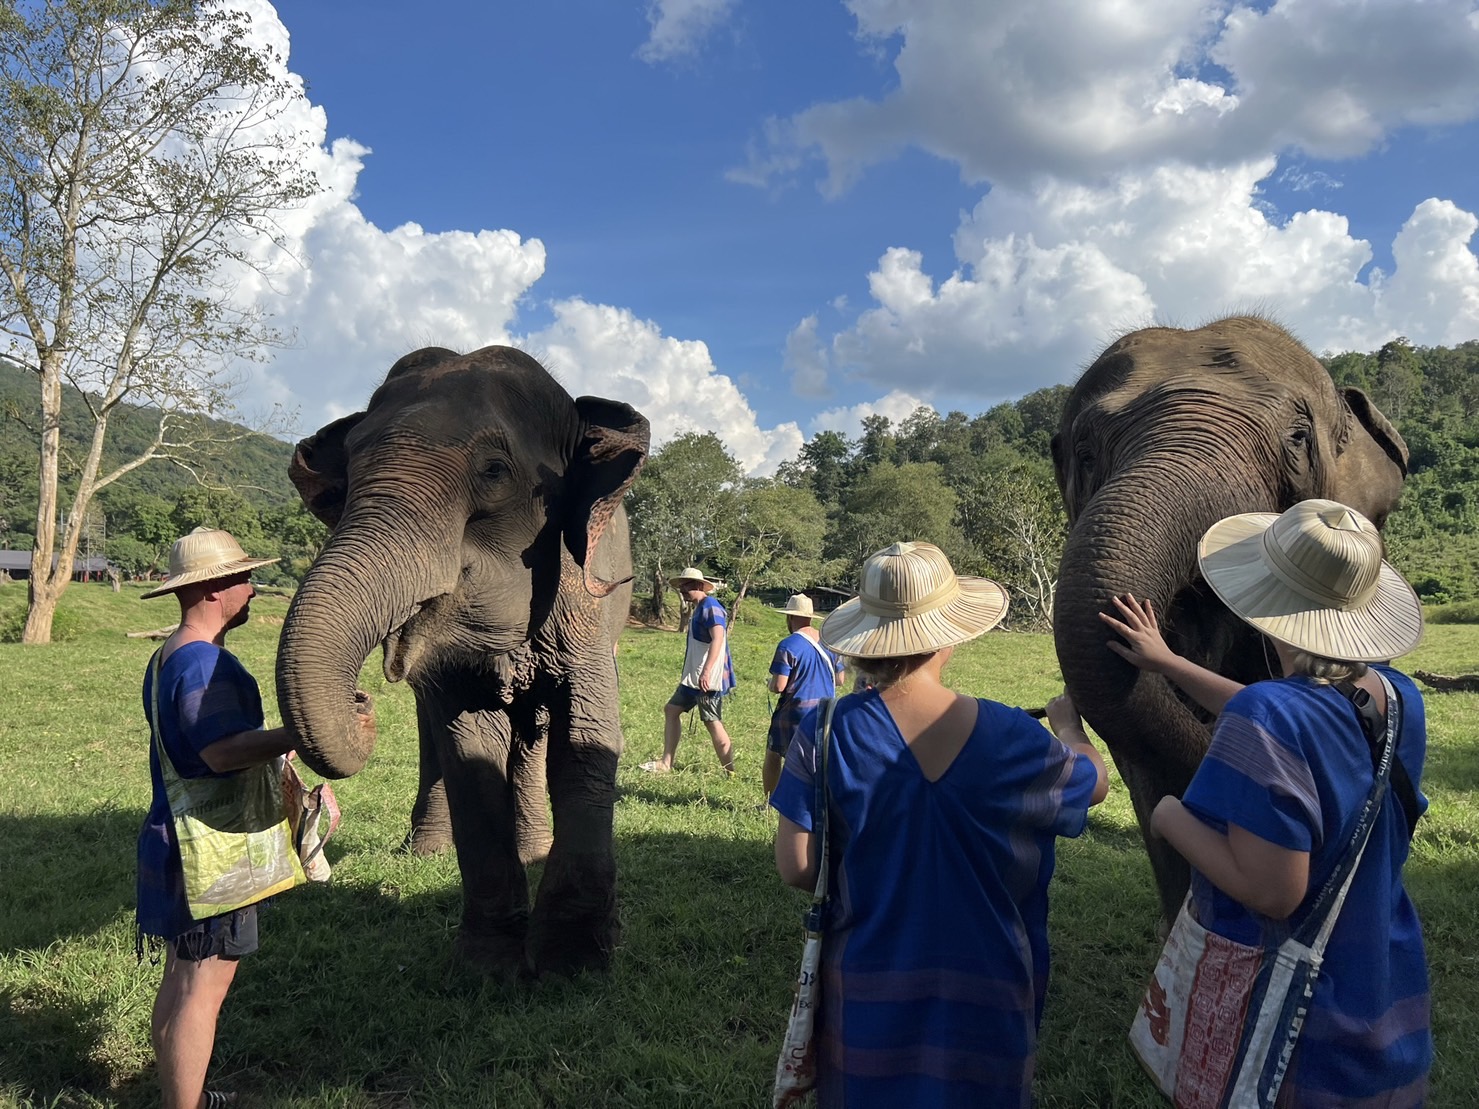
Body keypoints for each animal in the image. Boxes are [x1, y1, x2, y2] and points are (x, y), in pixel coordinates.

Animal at [278, 346, 647, 981]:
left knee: (536, 733)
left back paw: (533, 852)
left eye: (494, 472)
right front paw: (489, 969)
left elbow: (584, 738)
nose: (362, 699)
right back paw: (427, 850)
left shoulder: (584, 607)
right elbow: (470, 752)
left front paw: (572, 966)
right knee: (439, 738)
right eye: (347, 477)